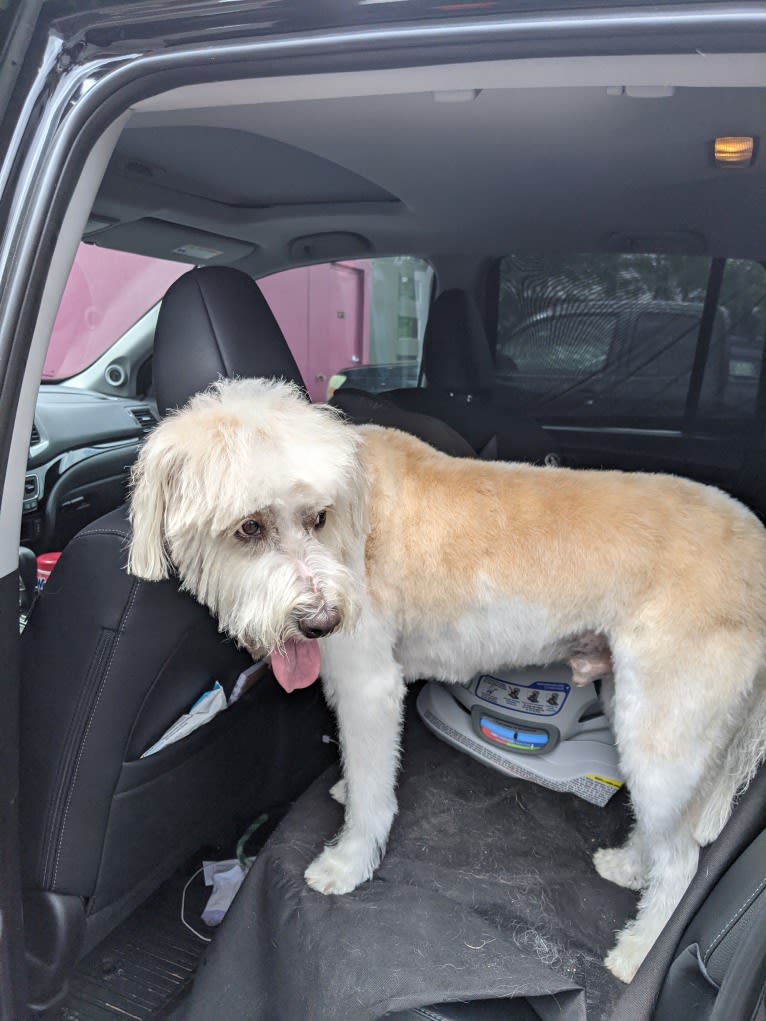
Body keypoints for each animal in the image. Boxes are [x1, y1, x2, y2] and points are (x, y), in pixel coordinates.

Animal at [130, 379, 766, 984]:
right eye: (249, 527)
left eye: (319, 518)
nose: (324, 620)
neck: (357, 517)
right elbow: (359, 767)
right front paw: (345, 789)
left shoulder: (370, 685)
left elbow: (373, 793)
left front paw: (348, 863)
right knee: (664, 831)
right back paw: (631, 867)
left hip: (663, 727)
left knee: (682, 859)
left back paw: (636, 952)